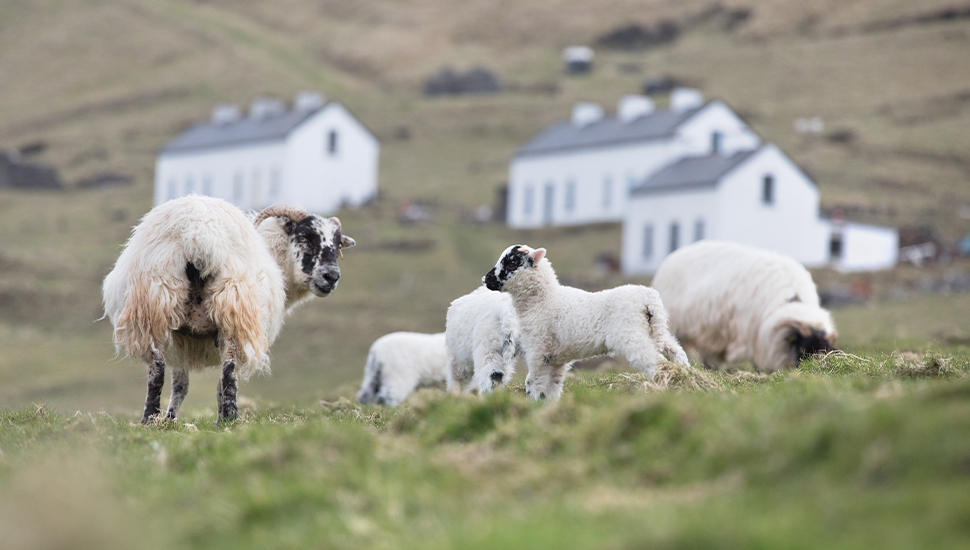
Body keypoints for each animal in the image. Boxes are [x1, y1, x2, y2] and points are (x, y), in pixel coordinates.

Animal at [100, 196, 356, 424]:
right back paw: (230, 420)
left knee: (157, 369)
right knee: (229, 372)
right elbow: (207, 386)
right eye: (303, 236)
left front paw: (169, 421)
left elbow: (181, 385)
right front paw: (199, 420)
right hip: (234, 310)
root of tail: (197, 236)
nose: (331, 276)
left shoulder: (180, 339)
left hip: (154, 305)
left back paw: (149, 419)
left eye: (338, 245)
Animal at [484, 246, 688, 402]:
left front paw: (532, 402)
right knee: (677, 352)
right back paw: (686, 379)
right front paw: (546, 404)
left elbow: (532, 381)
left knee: (657, 362)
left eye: (511, 263)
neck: (543, 298)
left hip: (631, 336)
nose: (486, 279)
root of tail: (648, 298)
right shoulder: (555, 359)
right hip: (656, 331)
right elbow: (551, 386)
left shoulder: (538, 350)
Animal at [652, 239, 840, 374]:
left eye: (823, 351)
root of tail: (675, 254)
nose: (808, 372)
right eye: (803, 348)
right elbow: (757, 363)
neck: (792, 299)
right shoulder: (753, 338)